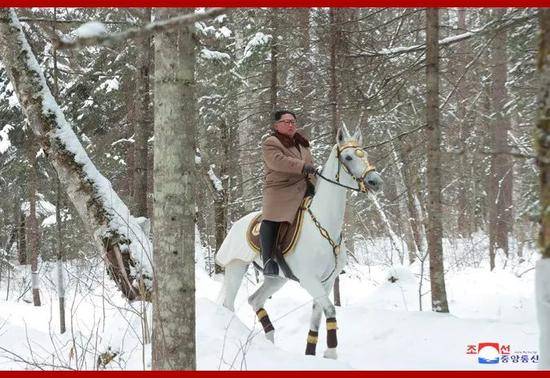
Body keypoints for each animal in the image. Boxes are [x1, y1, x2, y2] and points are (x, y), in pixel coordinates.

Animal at [216, 125, 384, 360]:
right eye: (349, 157)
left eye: (365, 154)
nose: (375, 182)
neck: (324, 223)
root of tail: (237, 224)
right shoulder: (309, 279)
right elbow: (330, 309)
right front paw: (331, 352)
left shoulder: (326, 281)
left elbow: (317, 316)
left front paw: (312, 354)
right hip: (236, 268)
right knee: (229, 304)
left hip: (276, 279)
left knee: (255, 300)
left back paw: (270, 340)